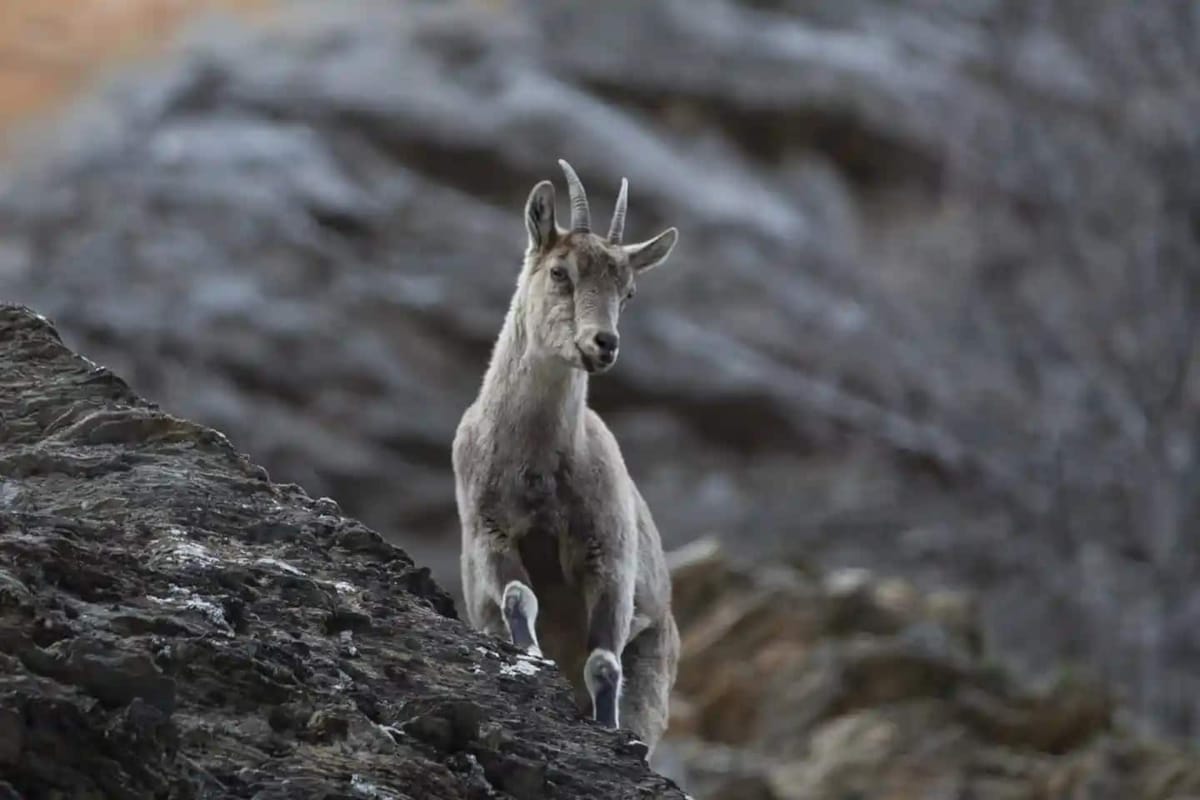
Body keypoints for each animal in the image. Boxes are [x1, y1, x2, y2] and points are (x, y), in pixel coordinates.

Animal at [453, 159, 686, 753]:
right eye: (561, 272)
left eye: (628, 292)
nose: (603, 343)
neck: (539, 460)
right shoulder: (490, 531)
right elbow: (518, 597)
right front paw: (531, 655)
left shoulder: (609, 559)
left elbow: (603, 662)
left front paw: (606, 728)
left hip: (654, 664)